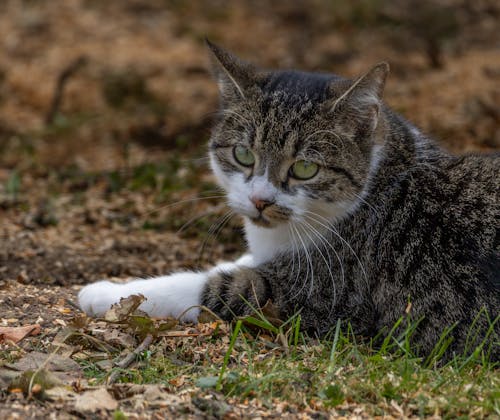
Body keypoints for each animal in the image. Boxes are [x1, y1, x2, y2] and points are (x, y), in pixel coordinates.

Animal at [79, 41, 500, 360]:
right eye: (243, 155)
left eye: (305, 169)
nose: (260, 200)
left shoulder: (313, 293)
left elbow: (206, 287)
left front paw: (106, 293)